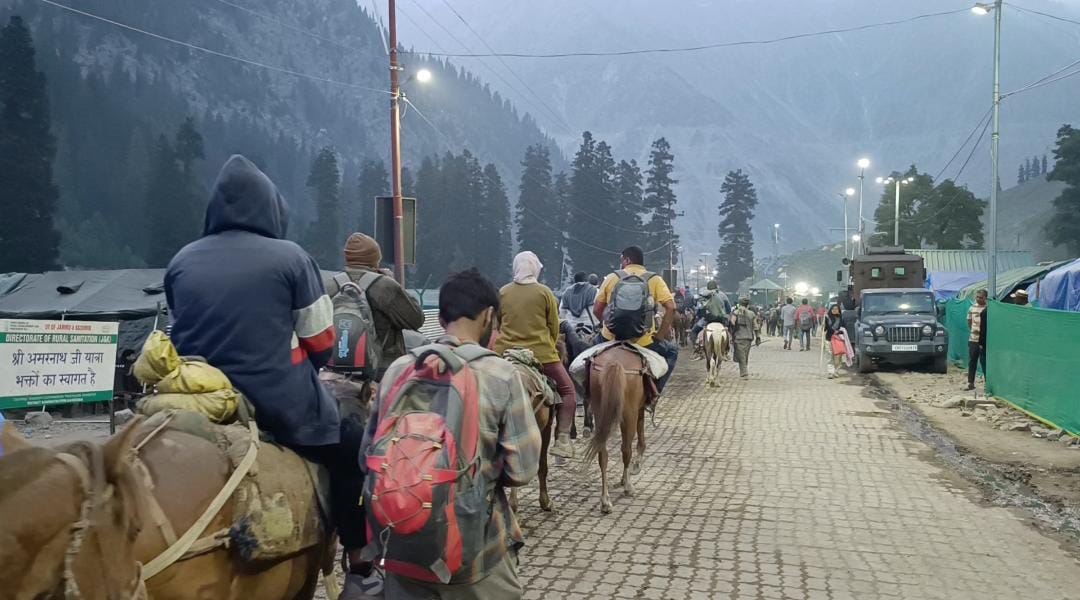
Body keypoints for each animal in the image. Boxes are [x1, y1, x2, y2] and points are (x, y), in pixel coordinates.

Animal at [587, 345, 643, 513]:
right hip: (629, 414)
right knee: (626, 449)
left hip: (600, 413)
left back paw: (605, 500)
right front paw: (635, 467)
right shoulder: (639, 411)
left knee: (602, 455)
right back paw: (628, 487)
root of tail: (615, 363)